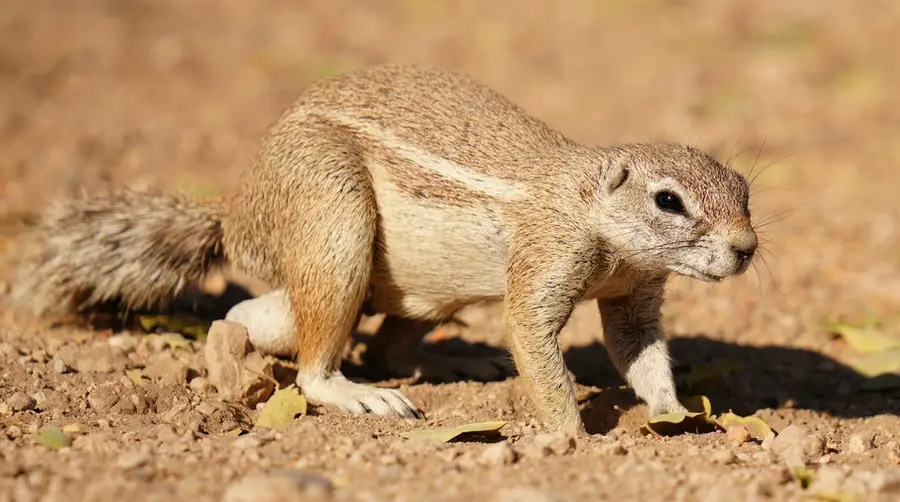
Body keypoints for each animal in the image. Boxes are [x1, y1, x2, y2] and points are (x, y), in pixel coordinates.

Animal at [9, 63, 758, 435]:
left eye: (745, 190)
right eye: (669, 201)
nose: (747, 249)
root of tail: (240, 213)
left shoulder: (636, 296)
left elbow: (640, 351)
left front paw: (672, 413)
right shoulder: (548, 254)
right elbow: (536, 342)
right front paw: (569, 438)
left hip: (414, 288)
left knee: (367, 340)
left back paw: (462, 361)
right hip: (332, 227)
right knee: (290, 347)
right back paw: (313, 387)